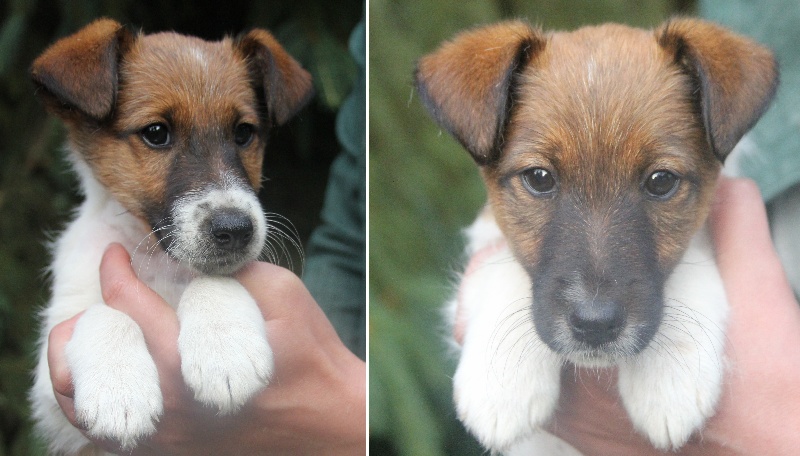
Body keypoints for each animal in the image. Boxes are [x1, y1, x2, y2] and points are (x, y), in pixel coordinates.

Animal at [28, 19, 310, 454]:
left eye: (243, 133)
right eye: (156, 133)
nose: (236, 230)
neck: (157, 260)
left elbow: (212, 280)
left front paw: (225, 349)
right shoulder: (52, 395)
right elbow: (102, 312)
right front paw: (119, 390)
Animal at [416, 16, 780, 452]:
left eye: (661, 182)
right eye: (539, 178)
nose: (595, 325)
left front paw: (668, 379)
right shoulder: (488, 236)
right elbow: (505, 265)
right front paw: (502, 384)